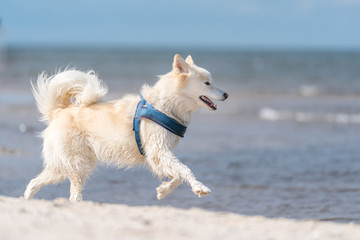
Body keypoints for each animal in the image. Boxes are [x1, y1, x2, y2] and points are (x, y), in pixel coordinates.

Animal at [24, 54, 228, 201]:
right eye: (207, 83)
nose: (226, 94)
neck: (165, 105)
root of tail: (59, 111)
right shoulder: (158, 151)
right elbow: (185, 170)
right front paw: (199, 187)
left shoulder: (157, 155)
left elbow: (177, 175)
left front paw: (163, 190)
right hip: (78, 164)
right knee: (74, 193)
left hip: (63, 166)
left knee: (34, 181)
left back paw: (26, 199)